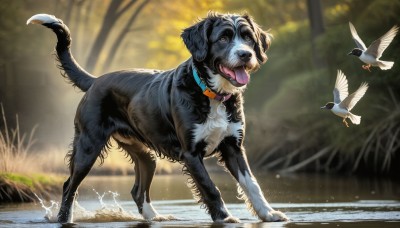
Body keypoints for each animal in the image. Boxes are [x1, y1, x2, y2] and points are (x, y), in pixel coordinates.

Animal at [27, 12, 288, 223]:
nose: (246, 54)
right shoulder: (191, 154)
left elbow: (251, 184)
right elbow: (210, 187)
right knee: (68, 185)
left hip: (145, 155)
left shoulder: (233, 146)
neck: (211, 93)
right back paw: (64, 218)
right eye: (223, 38)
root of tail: (95, 80)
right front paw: (225, 217)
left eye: (248, 37)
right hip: (87, 147)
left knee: (137, 189)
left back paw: (155, 217)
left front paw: (269, 214)